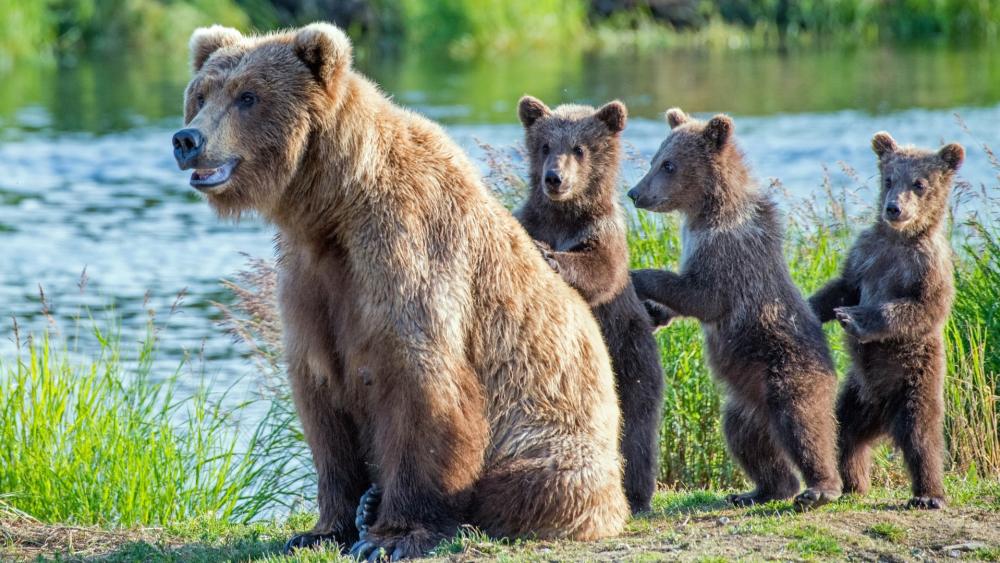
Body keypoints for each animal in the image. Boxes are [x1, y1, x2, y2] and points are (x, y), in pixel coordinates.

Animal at [173, 23, 628, 559]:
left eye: (248, 96)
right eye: (201, 95)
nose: (187, 139)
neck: (333, 207)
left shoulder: (407, 250)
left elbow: (421, 386)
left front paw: (390, 536)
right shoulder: (310, 279)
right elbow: (320, 398)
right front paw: (322, 527)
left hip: (555, 434)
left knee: (533, 480)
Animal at [514, 95, 667, 514]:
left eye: (579, 148)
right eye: (545, 145)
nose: (554, 178)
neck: (563, 217)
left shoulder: (604, 233)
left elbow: (599, 268)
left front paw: (551, 257)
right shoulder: (529, 220)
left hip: (630, 354)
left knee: (636, 424)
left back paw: (636, 493)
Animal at [627, 108, 842, 510]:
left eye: (668, 164)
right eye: (653, 160)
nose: (635, 193)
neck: (706, 210)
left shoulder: (729, 252)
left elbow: (701, 295)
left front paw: (637, 276)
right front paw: (654, 313)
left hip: (788, 369)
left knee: (804, 423)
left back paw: (820, 488)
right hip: (744, 403)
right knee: (747, 440)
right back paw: (760, 489)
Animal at [809, 132, 964, 510]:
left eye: (919, 183)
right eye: (889, 179)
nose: (894, 208)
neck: (899, 238)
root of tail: (883, 417)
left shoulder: (928, 265)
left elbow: (919, 308)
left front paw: (853, 318)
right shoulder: (866, 253)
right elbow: (843, 287)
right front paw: (811, 307)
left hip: (915, 382)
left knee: (922, 437)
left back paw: (928, 494)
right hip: (857, 395)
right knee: (845, 432)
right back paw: (853, 483)